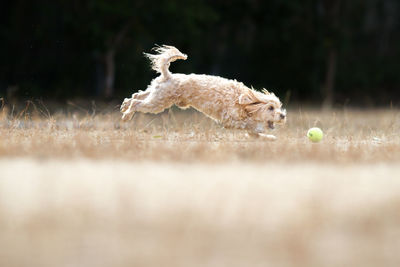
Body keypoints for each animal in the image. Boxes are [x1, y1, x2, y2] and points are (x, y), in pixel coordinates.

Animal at [120, 45, 286, 140]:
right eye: (271, 108)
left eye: (279, 107)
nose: (283, 115)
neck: (242, 102)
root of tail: (169, 75)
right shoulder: (230, 120)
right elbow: (250, 126)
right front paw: (260, 128)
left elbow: (255, 134)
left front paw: (270, 137)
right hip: (158, 102)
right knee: (137, 102)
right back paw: (126, 116)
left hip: (156, 92)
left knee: (136, 95)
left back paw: (124, 106)